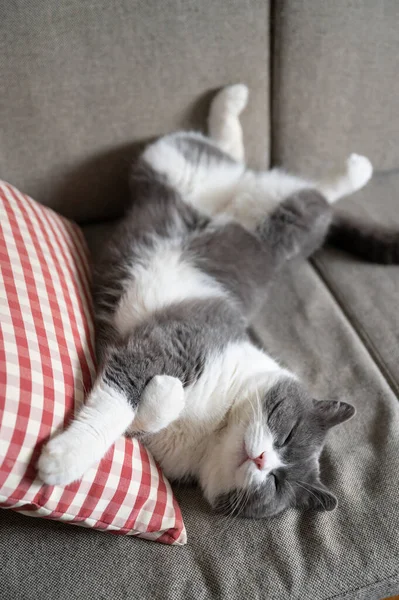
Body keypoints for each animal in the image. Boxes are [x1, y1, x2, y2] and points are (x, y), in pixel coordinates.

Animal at [37, 82, 396, 516]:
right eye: (288, 434)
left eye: (277, 483)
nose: (263, 460)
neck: (215, 425)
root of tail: (235, 193)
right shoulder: (174, 344)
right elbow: (115, 406)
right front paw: (61, 462)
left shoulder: (158, 443)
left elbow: (139, 419)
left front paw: (165, 395)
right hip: (192, 173)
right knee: (301, 192)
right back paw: (347, 164)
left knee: (247, 162)